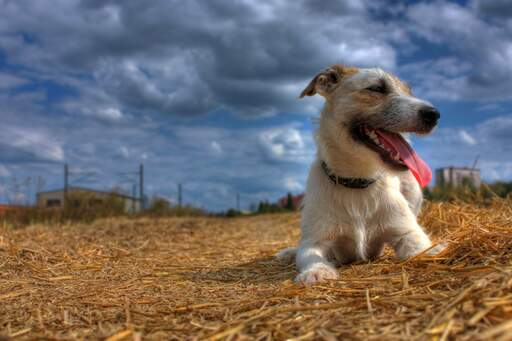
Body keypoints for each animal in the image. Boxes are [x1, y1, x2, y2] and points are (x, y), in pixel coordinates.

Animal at [276, 63, 444, 284]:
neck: (358, 180)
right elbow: (309, 254)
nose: (434, 114)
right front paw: (317, 271)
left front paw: (433, 249)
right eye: (376, 88)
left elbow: (419, 246)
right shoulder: (315, 241)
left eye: (409, 91)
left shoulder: (406, 231)